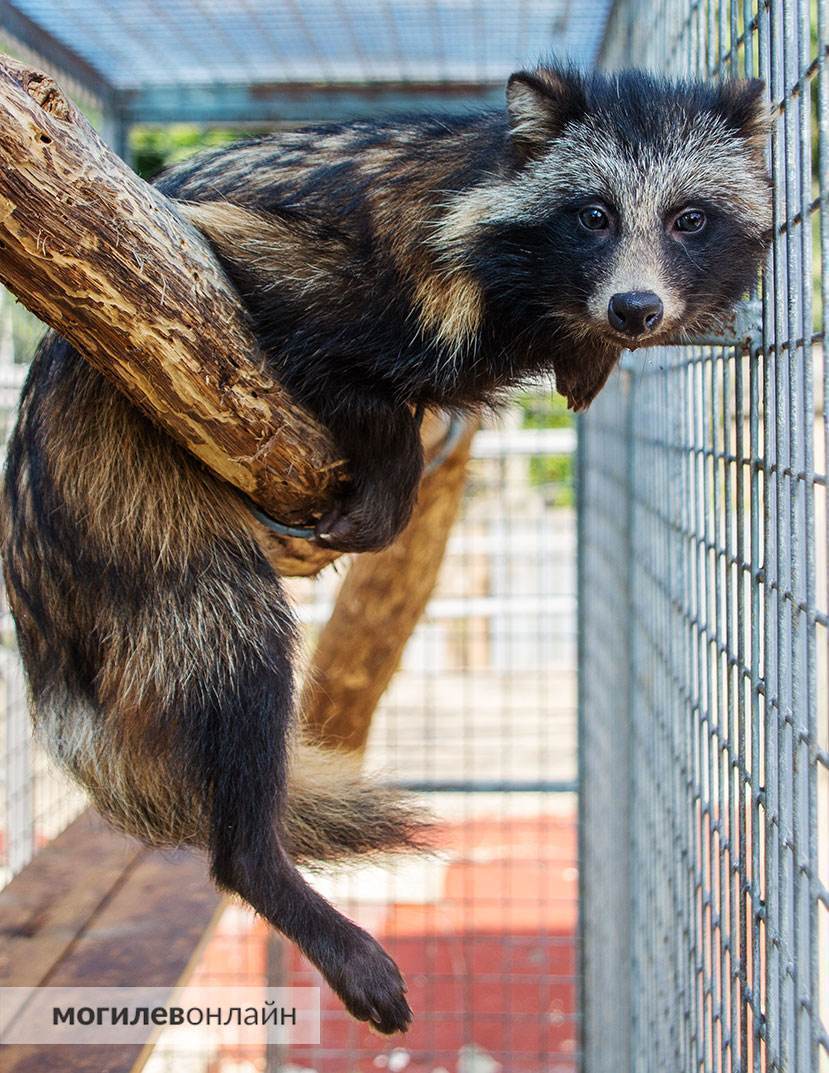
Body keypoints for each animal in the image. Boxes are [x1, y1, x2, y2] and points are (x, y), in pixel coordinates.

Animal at [3, 64, 772, 1030]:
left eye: (689, 219)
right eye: (593, 215)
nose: (634, 309)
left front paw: (587, 351)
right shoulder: (305, 256)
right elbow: (306, 318)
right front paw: (397, 453)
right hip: (127, 504)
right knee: (232, 643)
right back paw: (266, 870)